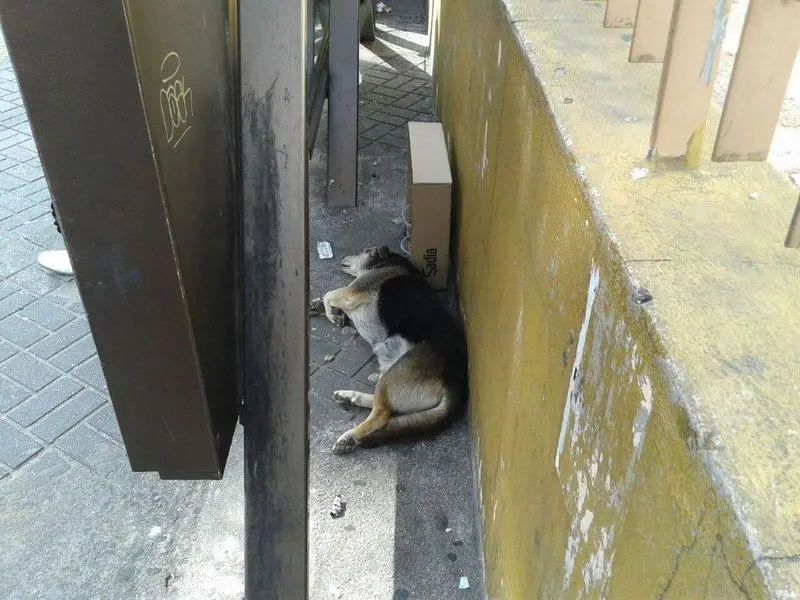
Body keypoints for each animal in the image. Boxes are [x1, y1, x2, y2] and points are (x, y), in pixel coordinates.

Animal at [308, 246, 468, 452]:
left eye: (363, 250)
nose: (342, 256)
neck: (386, 261)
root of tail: (457, 383)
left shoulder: (352, 293)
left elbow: (329, 294)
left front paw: (332, 314)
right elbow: (326, 298)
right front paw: (318, 306)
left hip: (393, 376)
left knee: (382, 415)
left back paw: (349, 437)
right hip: (389, 373)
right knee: (383, 405)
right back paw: (349, 397)